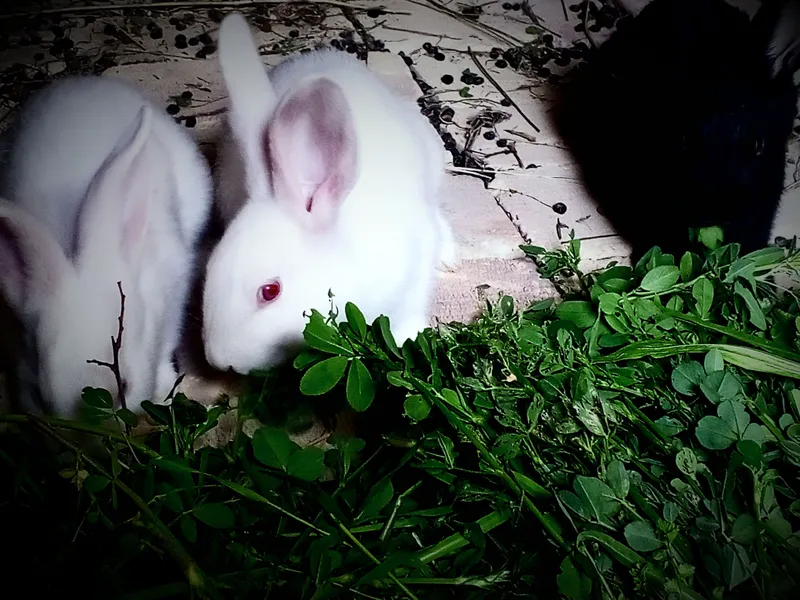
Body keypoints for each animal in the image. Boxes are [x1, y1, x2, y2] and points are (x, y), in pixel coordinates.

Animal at [202, 13, 457, 375]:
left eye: (270, 291)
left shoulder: (415, 263)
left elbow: (408, 309)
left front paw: (408, 337)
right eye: (208, 270)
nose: (220, 361)